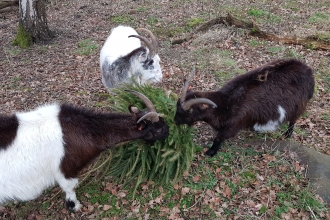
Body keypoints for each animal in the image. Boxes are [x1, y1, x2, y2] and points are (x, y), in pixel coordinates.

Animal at [0, 90, 169, 211]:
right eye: (157, 128)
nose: (168, 130)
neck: (81, 128)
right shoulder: (65, 168)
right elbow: (69, 187)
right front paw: (74, 206)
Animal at [174, 58, 314, 156]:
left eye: (190, 110)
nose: (175, 121)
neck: (226, 103)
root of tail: (308, 70)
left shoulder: (233, 125)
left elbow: (218, 138)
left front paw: (210, 152)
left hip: (298, 105)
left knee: (293, 120)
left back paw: (288, 135)